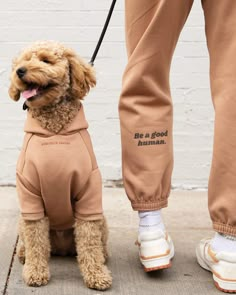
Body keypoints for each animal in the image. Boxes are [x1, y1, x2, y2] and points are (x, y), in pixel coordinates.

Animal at [8, 41, 112, 292]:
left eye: (45, 60)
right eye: (22, 62)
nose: (20, 71)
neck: (54, 129)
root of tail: (62, 248)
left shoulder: (89, 191)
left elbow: (89, 242)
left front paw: (96, 274)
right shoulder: (29, 193)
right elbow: (36, 242)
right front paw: (35, 273)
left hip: (101, 219)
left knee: (96, 243)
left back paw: (103, 256)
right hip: (22, 221)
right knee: (33, 243)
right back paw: (23, 254)